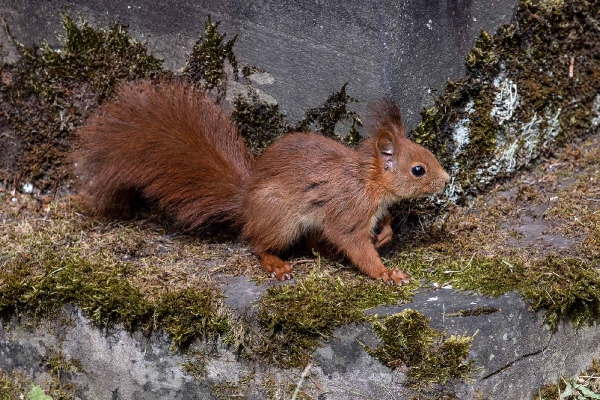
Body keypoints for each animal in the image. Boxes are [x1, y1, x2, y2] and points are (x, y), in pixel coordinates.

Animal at [75, 79, 448, 284]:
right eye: (418, 170)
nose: (446, 181)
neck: (368, 182)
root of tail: (246, 200)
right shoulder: (348, 210)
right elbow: (355, 244)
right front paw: (385, 272)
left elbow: (382, 223)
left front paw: (385, 233)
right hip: (280, 218)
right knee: (255, 242)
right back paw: (275, 264)